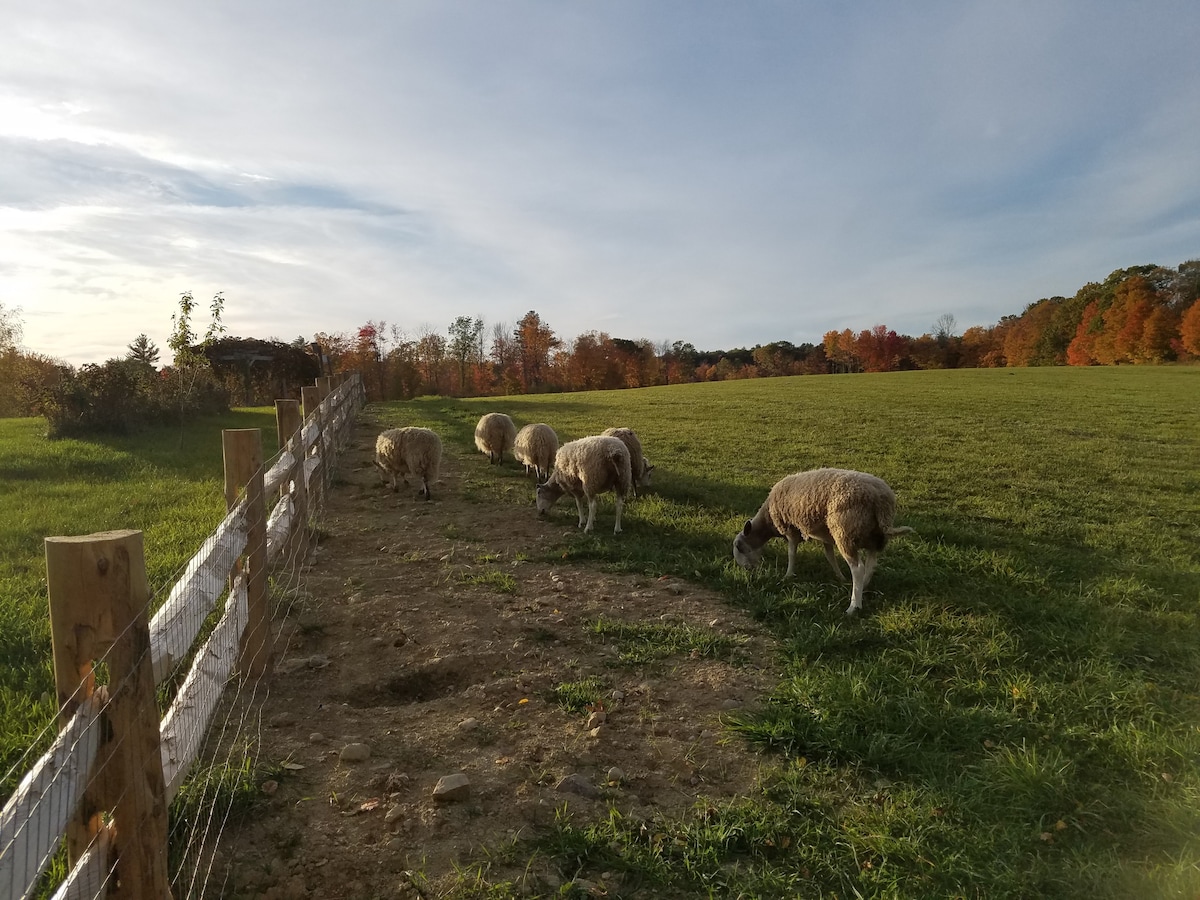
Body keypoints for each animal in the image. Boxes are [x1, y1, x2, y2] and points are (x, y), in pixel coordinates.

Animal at [729, 468, 916, 619]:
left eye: (739, 547)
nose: (746, 570)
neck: (768, 521)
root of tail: (880, 499)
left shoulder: (791, 529)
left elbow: (792, 553)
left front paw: (788, 575)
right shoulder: (826, 535)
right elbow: (829, 556)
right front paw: (839, 577)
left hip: (844, 532)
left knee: (858, 568)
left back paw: (854, 605)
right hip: (873, 535)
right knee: (871, 562)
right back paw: (864, 586)